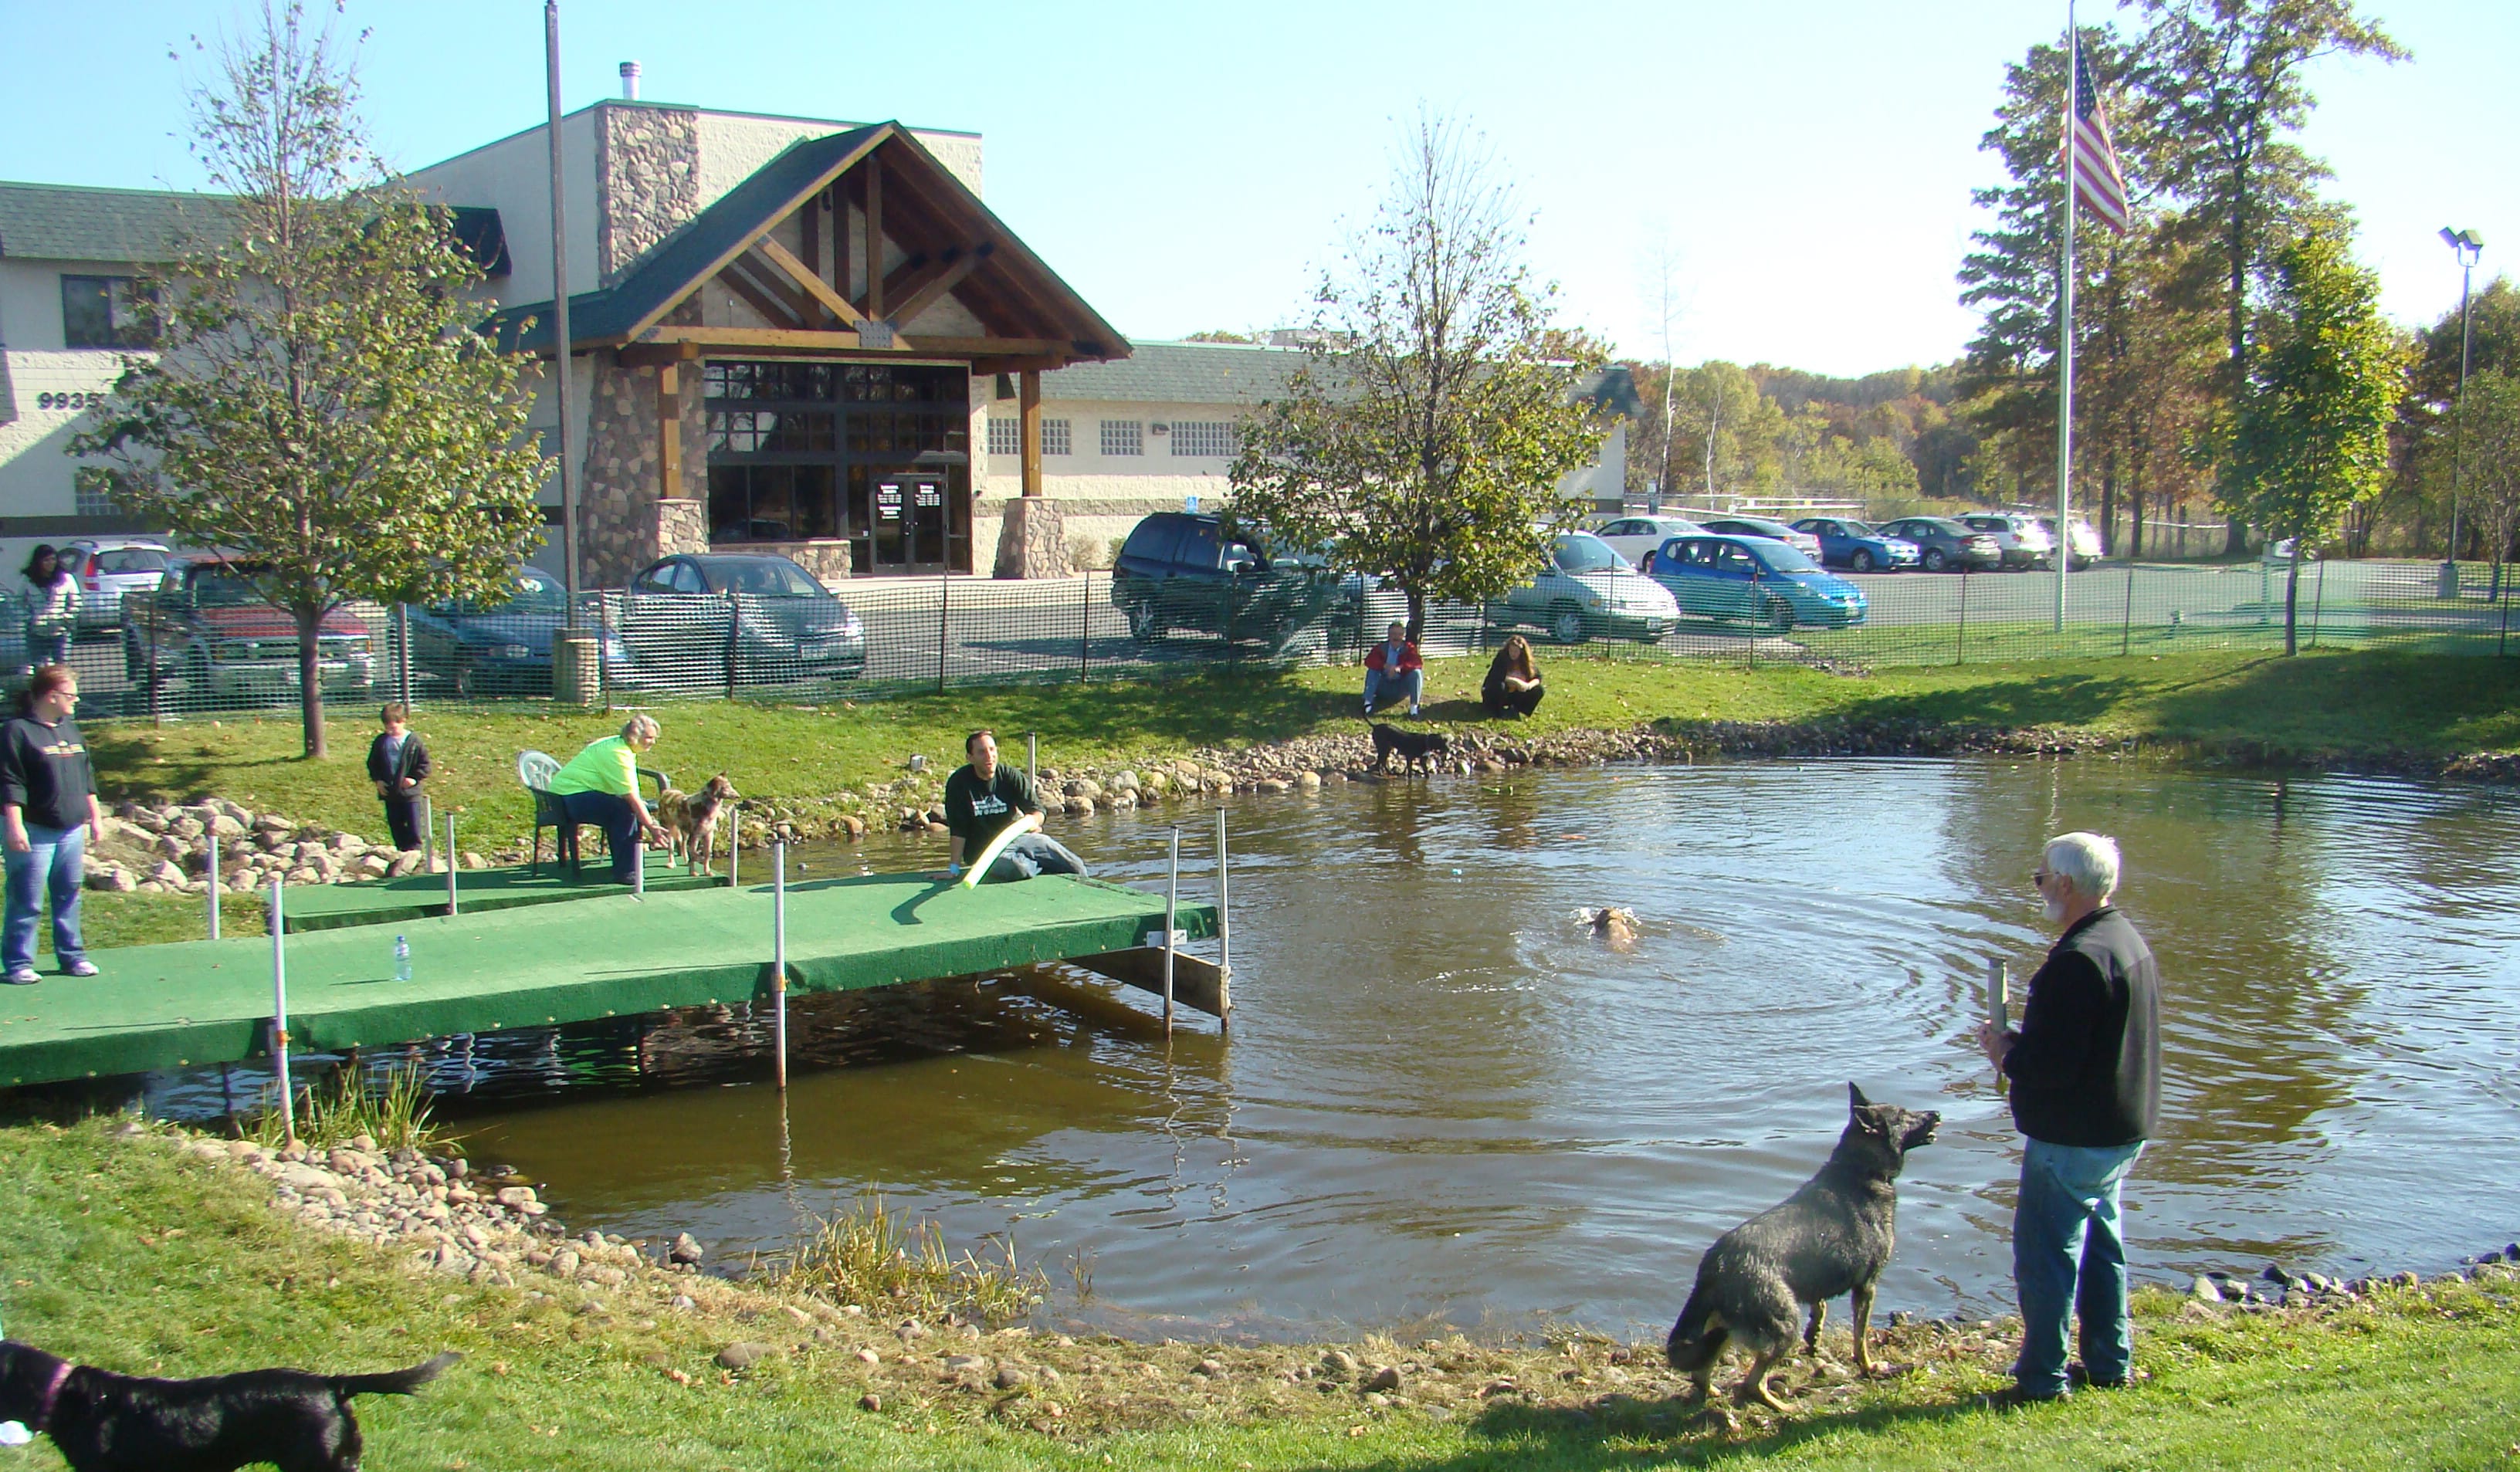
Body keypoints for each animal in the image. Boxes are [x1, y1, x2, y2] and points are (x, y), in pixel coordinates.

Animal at [650, 771, 736, 871]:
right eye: (726, 787)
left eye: (730, 786)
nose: (738, 796)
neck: (707, 804)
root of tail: (666, 792)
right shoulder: (695, 834)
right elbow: (695, 853)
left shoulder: (708, 833)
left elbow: (707, 853)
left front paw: (707, 870)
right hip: (669, 829)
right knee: (670, 847)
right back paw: (671, 863)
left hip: (684, 831)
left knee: (683, 844)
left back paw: (686, 860)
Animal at [1673, 1088, 1945, 1421]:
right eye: (1904, 1115)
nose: (1936, 1114)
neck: (1860, 1169)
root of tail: (1716, 1265)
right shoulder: (1867, 1286)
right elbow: (1861, 1340)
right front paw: (1869, 1368)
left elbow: (1821, 1309)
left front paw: (1815, 1337)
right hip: (1782, 1327)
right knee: (1751, 1384)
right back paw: (1784, 1408)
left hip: (1723, 1329)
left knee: (1701, 1372)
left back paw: (1714, 1392)